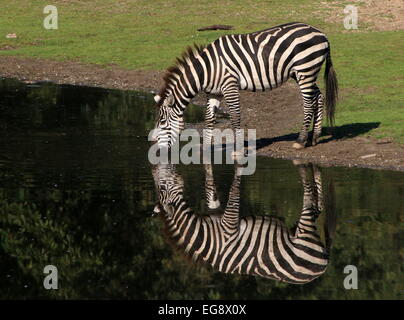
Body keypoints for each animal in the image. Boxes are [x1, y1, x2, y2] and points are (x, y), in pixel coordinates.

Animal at [153, 22, 336, 150]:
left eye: (162, 122)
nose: (154, 145)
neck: (208, 69)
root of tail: (322, 33)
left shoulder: (230, 86)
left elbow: (235, 116)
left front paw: (239, 148)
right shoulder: (214, 92)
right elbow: (209, 118)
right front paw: (205, 147)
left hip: (306, 69)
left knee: (308, 103)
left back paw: (300, 140)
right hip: (302, 73)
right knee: (318, 96)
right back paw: (315, 137)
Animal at [153, 164, 336, 284]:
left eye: (161, 187)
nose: (155, 169)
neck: (208, 236)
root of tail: (322, 269)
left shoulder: (229, 223)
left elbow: (234, 190)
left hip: (305, 233)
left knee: (311, 202)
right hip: (301, 230)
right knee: (315, 206)